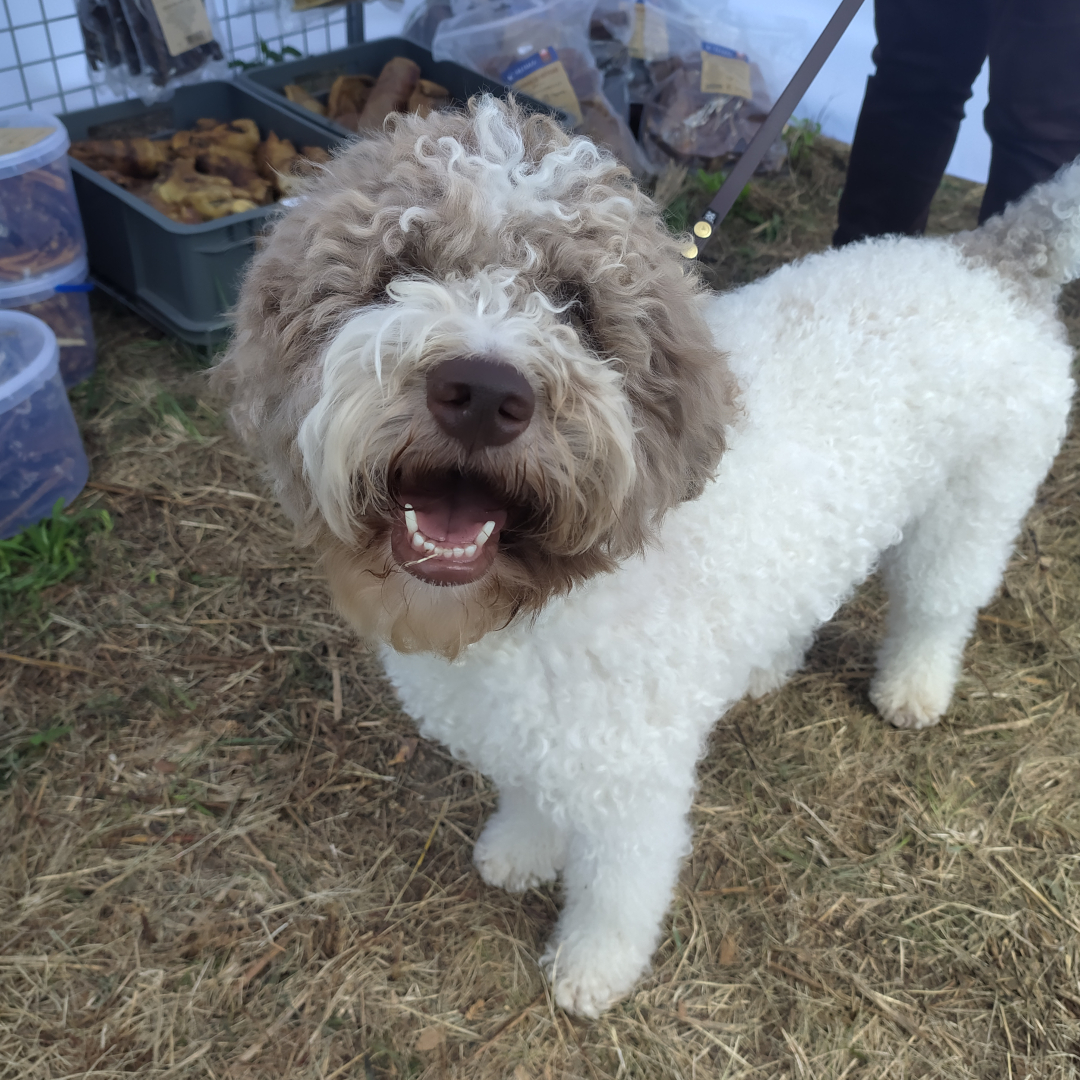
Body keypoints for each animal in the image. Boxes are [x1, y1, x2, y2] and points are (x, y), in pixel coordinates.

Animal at [213, 97, 1078, 1017]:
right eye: (397, 271)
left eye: (576, 304)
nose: (483, 393)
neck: (533, 602)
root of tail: (988, 258)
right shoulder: (539, 734)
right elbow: (532, 793)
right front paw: (520, 848)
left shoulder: (633, 778)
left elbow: (618, 882)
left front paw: (594, 966)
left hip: (975, 505)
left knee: (937, 606)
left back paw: (913, 686)